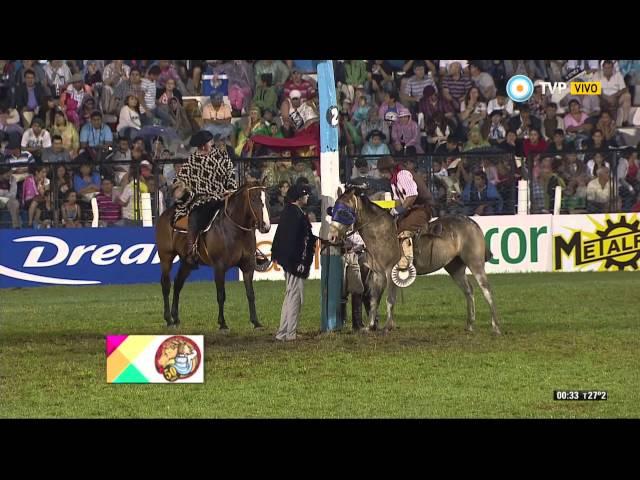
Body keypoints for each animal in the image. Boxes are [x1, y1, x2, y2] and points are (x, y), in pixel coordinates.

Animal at [155, 180, 270, 330]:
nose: (266, 226)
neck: (235, 230)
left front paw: (256, 322)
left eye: (266, 199)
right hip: (166, 257)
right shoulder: (219, 267)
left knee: (178, 284)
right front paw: (222, 323)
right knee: (166, 285)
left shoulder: (248, 267)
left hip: (187, 263)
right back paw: (168, 319)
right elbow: (221, 295)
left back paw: (176, 318)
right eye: (254, 198)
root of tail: (165, 214)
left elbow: (250, 294)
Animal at [328, 186, 502, 336]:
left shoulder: (390, 272)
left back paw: (495, 326)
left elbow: (389, 299)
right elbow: (373, 300)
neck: (380, 232)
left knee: (487, 290)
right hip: (455, 267)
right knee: (468, 290)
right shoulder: (378, 274)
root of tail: (472, 223)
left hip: (475, 263)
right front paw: (370, 326)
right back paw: (470, 324)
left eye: (343, 211)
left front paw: (387, 327)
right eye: (333, 210)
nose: (332, 237)